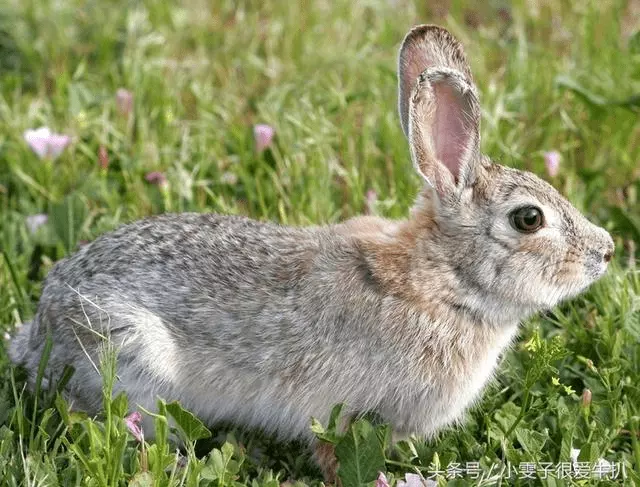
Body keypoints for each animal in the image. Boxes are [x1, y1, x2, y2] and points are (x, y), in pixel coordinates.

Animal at [7, 23, 612, 480]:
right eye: (529, 219)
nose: (604, 252)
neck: (442, 282)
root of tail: (40, 331)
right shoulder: (345, 413)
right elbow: (335, 455)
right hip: (131, 358)